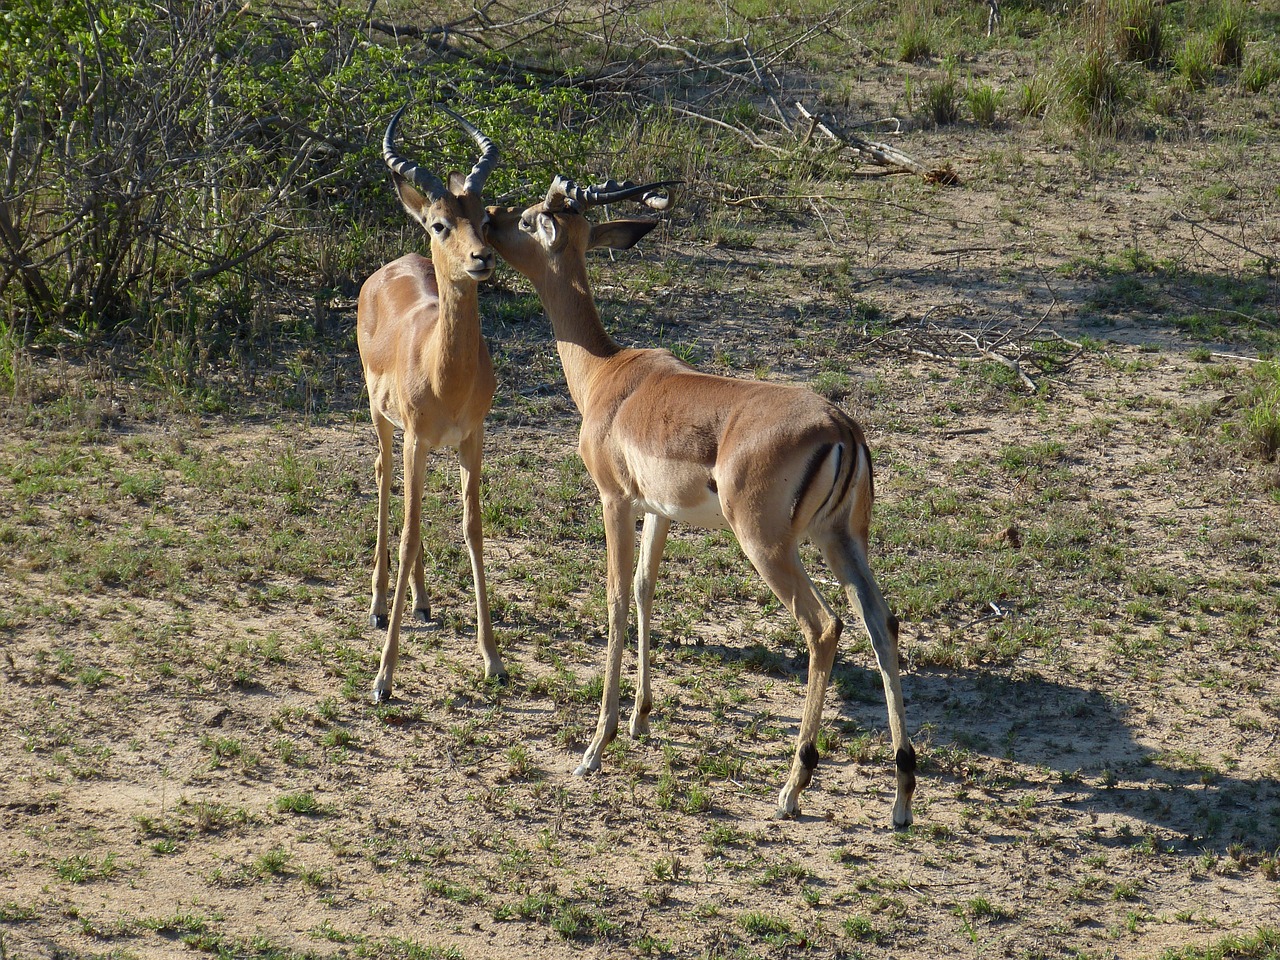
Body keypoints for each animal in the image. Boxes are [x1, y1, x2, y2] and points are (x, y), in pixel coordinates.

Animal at [483, 176, 916, 824]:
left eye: (533, 218)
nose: (487, 219)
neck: (607, 375)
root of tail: (842, 426)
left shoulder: (614, 501)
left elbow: (614, 600)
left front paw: (595, 748)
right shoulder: (658, 511)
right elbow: (644, 591)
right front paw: (639, 720)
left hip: (768, 546)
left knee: (824, 627)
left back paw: (793, 787)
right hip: (840, 539)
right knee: (880, 622)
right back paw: (902, 797)